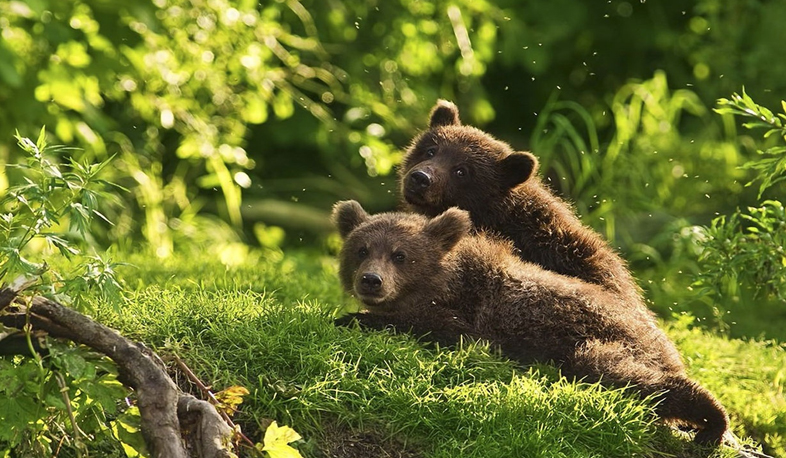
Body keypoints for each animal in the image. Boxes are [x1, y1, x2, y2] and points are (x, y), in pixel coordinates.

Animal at [332, 200, 730, 446]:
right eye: (361, 249)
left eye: (400, 255)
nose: (371, 281)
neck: (446, 281)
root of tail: (665, 343)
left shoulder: (472, 317)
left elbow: (437, 327)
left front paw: (351, 318)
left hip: (605, 340)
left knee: (625, 373)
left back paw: (712, 421)